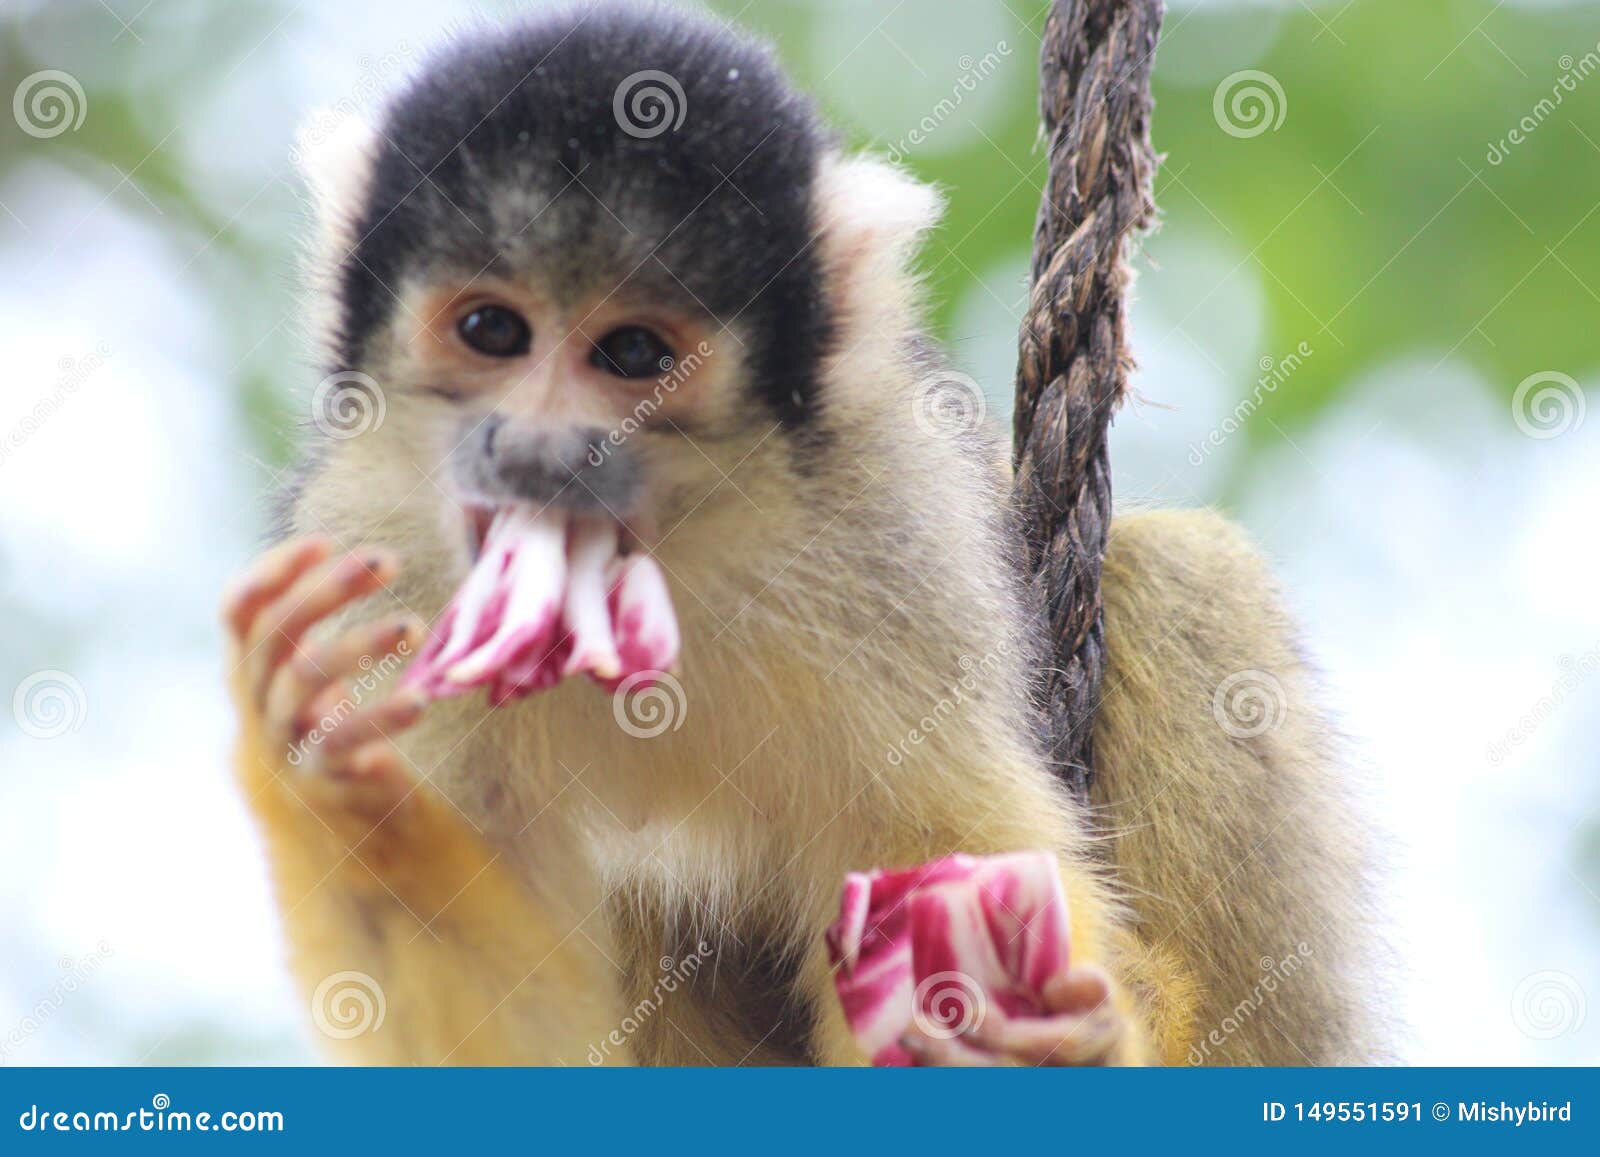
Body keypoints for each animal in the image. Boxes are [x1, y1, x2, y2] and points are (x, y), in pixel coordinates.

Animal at [222, 0, 1376, 1068]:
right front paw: (330, 776)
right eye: (490, 330)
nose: (539, 453)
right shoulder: (372, 552)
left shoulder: (893, 522)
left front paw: (1026, 1027)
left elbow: (940, 834)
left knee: (1172, 566)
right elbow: (518, 1033)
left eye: (633, 353)